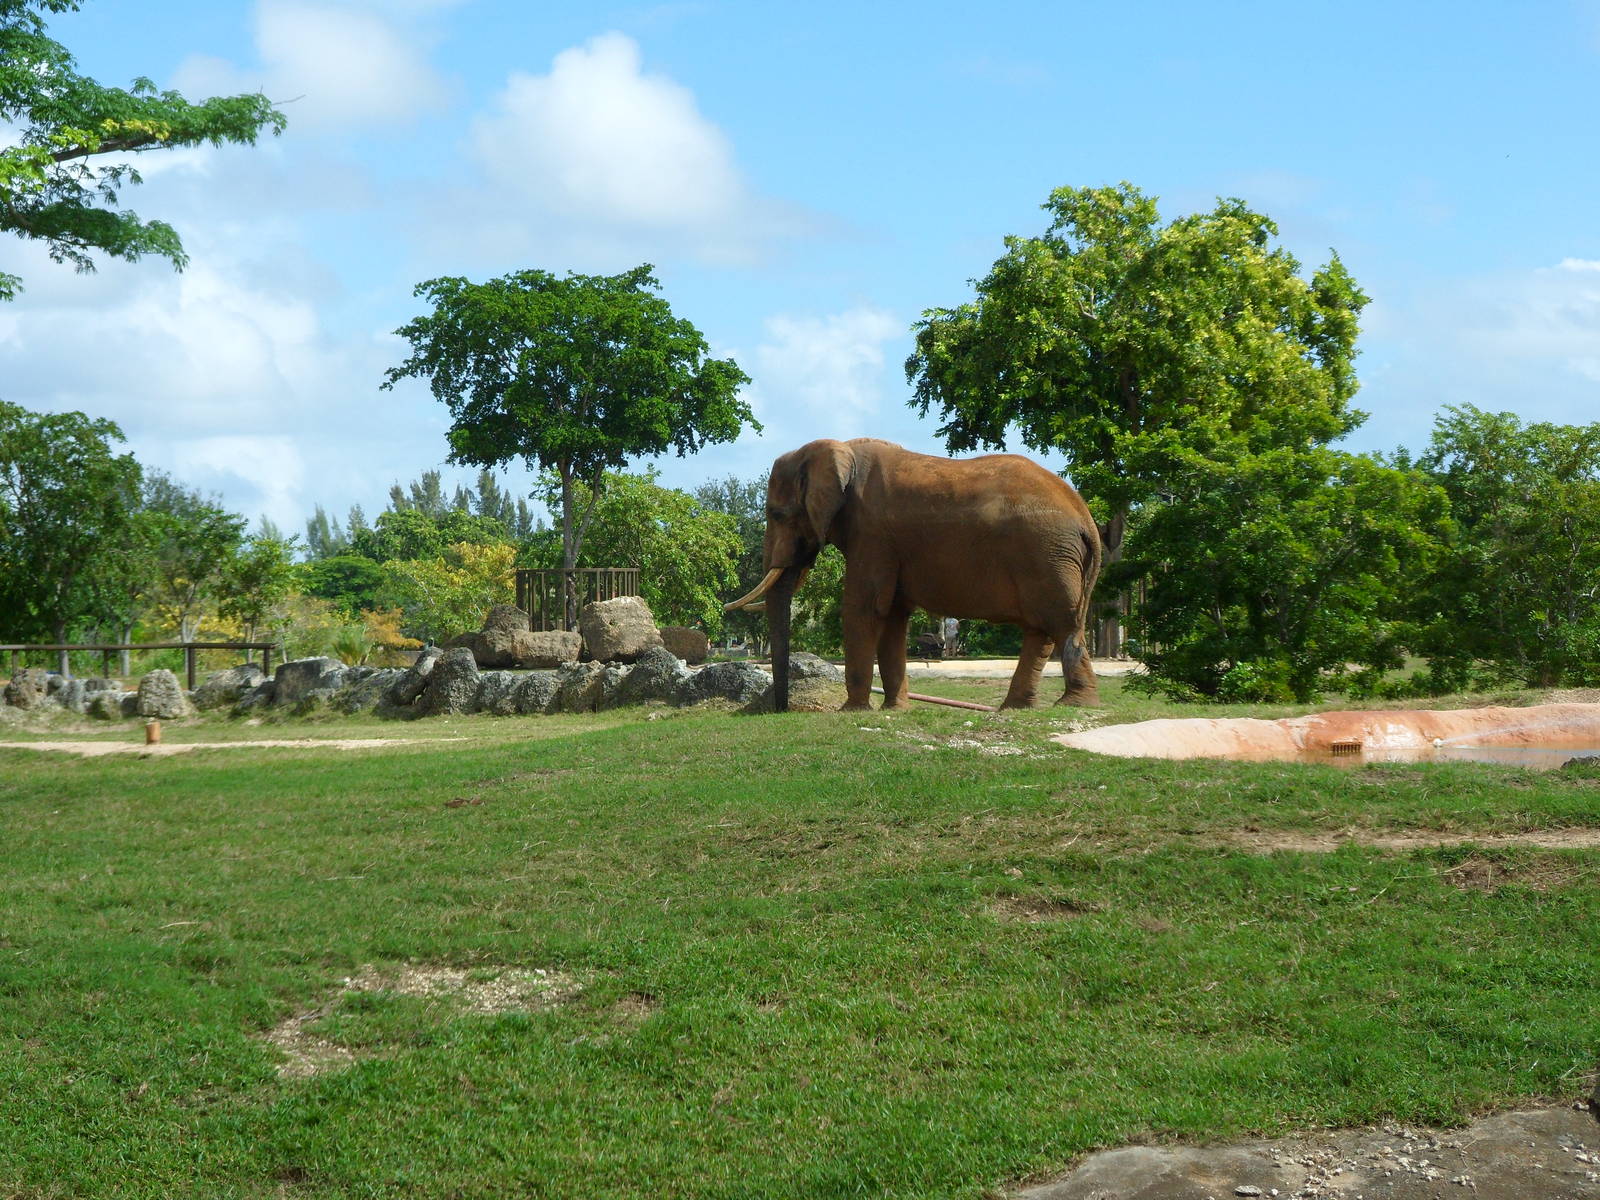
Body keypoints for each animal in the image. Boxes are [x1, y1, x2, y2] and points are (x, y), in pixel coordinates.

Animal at [725, 438, 1102, 712]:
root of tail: (1084, 515)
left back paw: (1073, 704)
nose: (782, 710)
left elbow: (863, 609)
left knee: (1060, 624)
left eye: (777, 514)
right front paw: (895, 709)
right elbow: (892, 615)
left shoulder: (872, 533)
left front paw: (853, 711)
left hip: (1047, 555)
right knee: (1042, 631)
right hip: (1053, 558)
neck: (839, 448)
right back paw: (1016, 708)